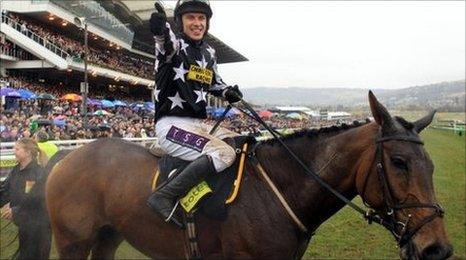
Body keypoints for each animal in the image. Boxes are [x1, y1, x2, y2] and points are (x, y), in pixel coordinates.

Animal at [46, 92, 452, 258]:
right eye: (398, 162)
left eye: (431, 165)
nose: (438, 248)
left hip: (108, 236)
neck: (280, 189)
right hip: (72, 241)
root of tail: (65, 158)